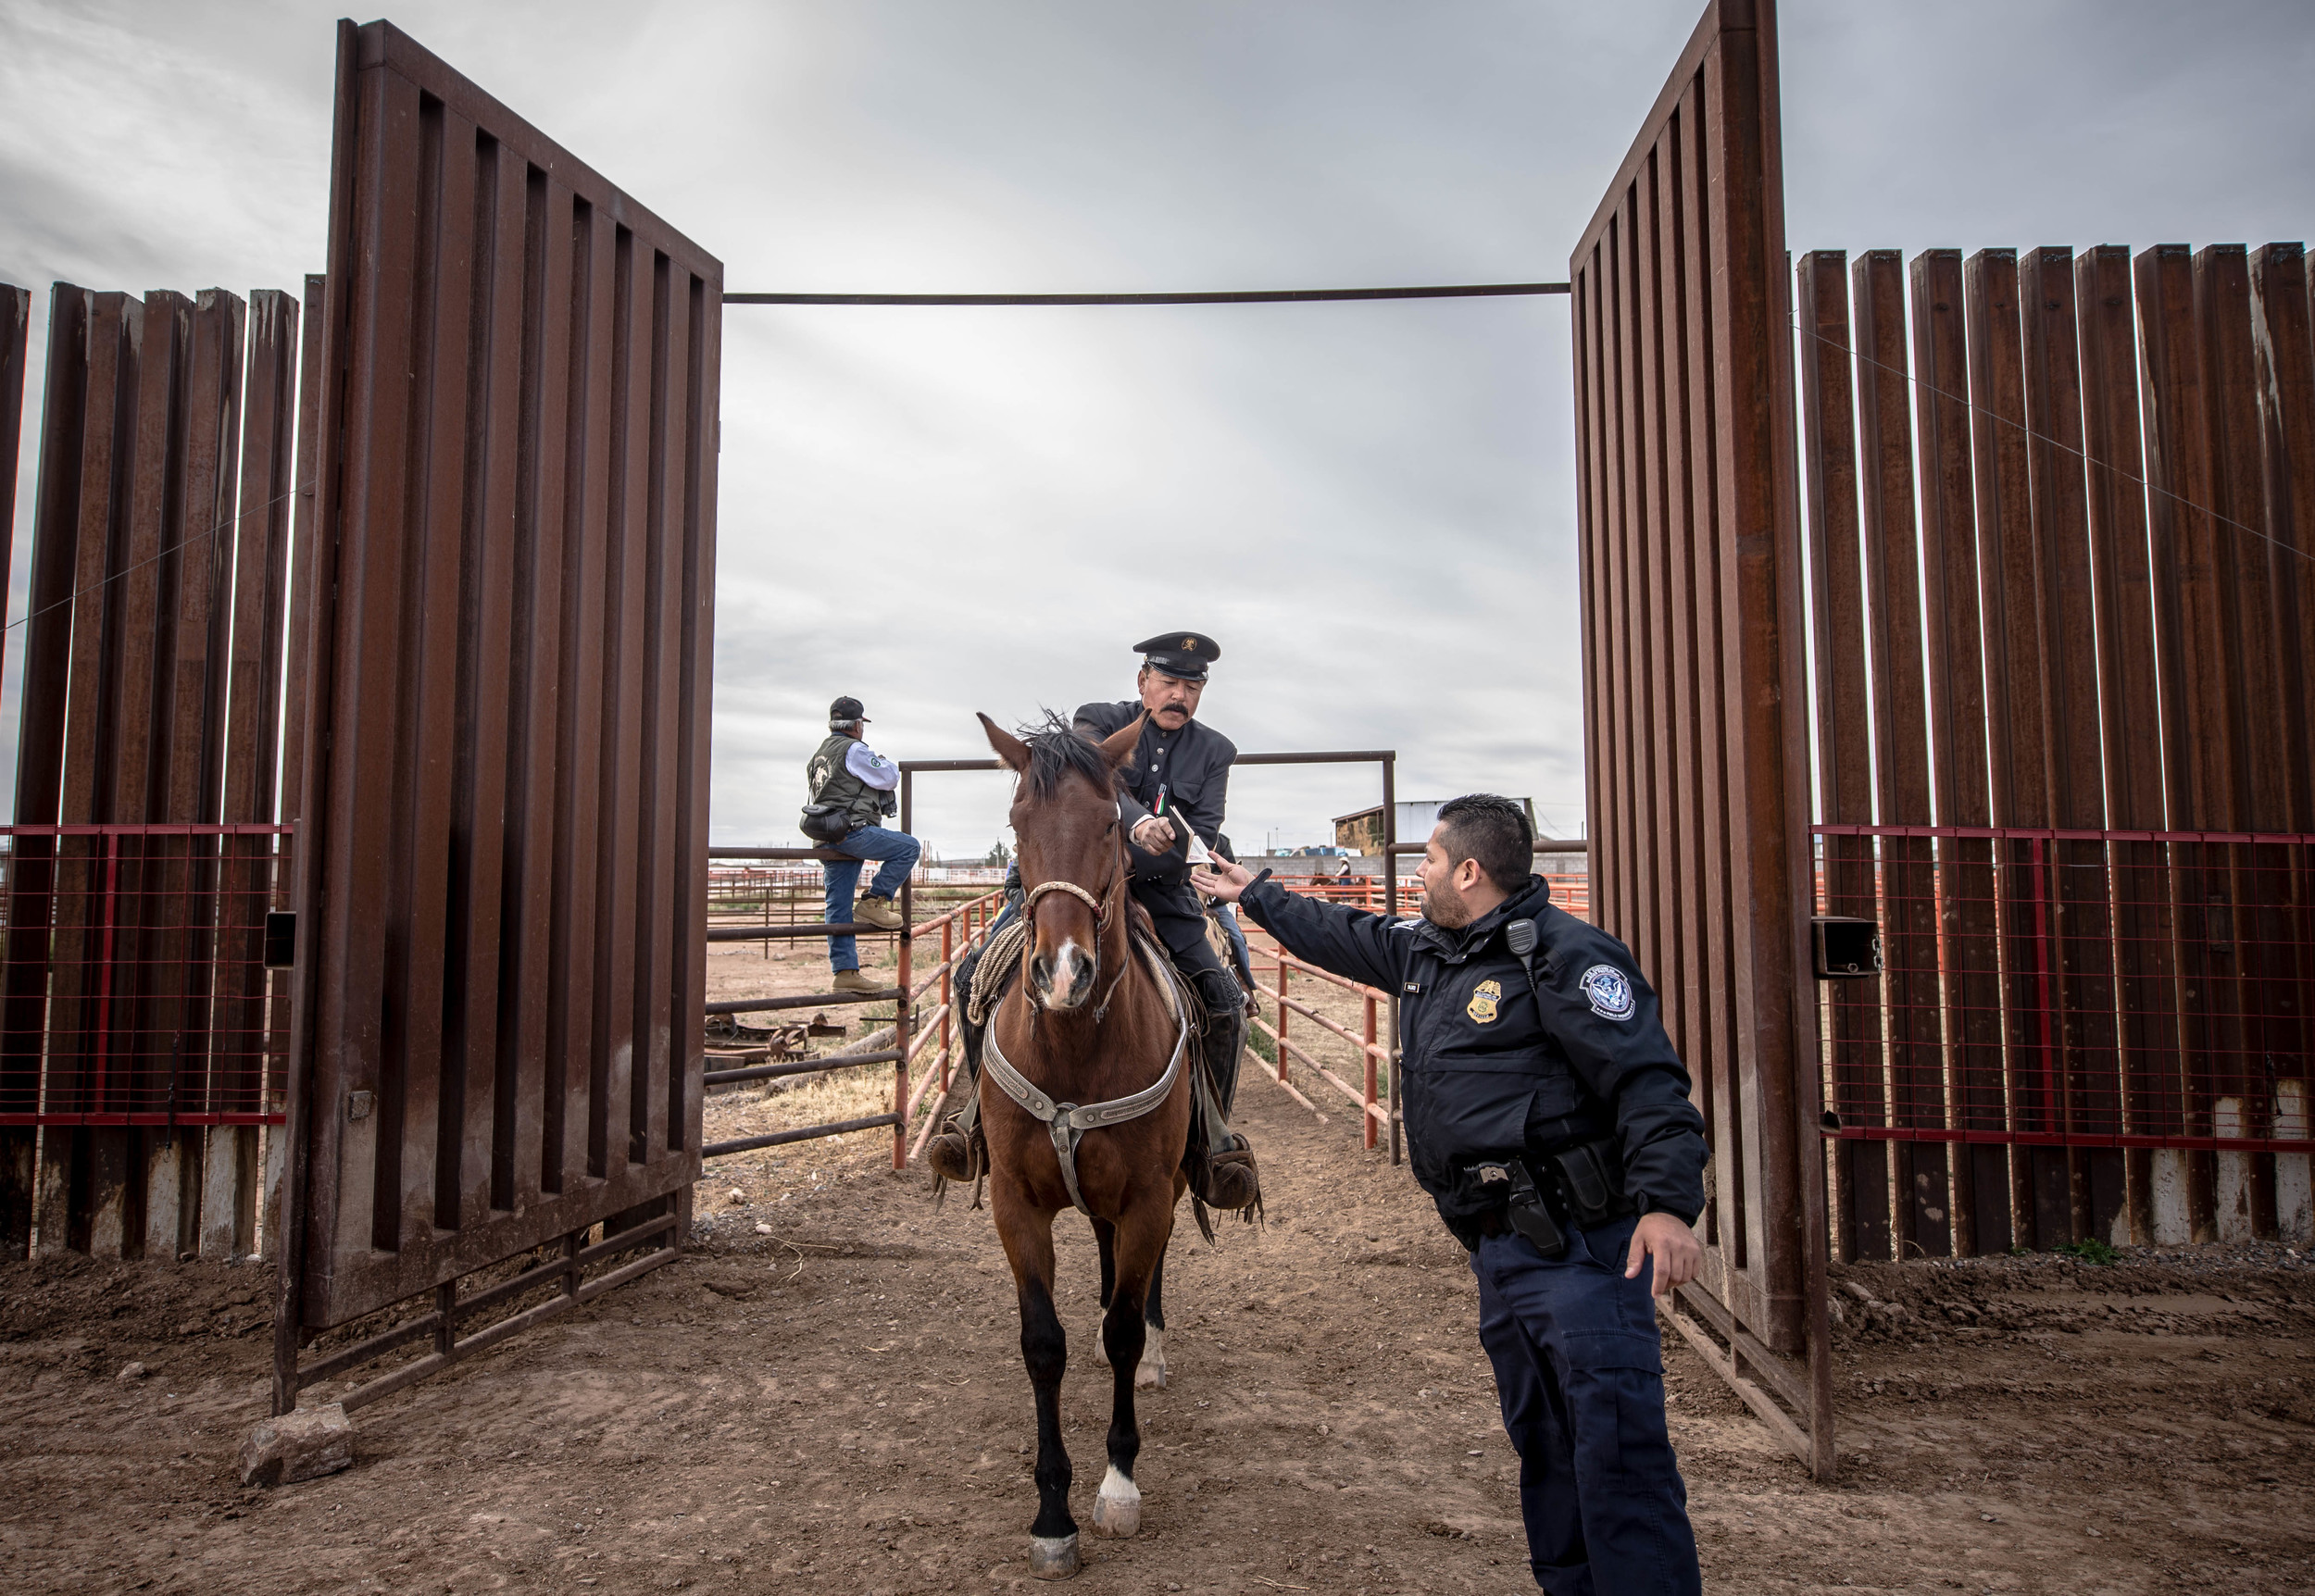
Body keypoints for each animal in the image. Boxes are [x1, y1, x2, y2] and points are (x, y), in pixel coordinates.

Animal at [972, 712, 1195, 1582]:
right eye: (1016, 825)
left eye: (1109, 823)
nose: (1063, 973)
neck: (1072, 1046)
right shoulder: (1015, 1205)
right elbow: (1044, 1345)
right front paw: (1052, 1516)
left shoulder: (1146, 1199)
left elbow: (1127, 1326)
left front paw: (1119, 1486)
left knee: (1142, 1293)